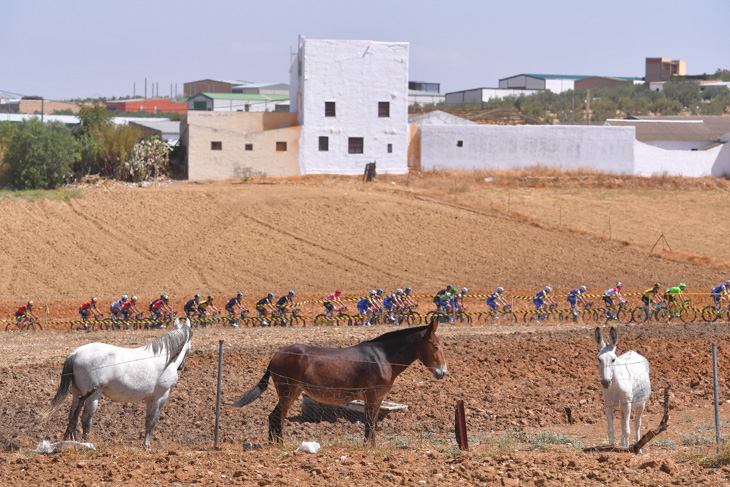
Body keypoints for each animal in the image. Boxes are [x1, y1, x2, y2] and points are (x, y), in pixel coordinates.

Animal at [44, 316, 193, 450]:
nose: (181, 367)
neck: (165, 359)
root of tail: (75, 353)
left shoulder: (150, 399)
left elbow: (147, 421)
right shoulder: (161, 396)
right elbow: (152, 421)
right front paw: (147, 447)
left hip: (77, 394)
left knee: (72, 417)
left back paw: (73, 443)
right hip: (93, 395)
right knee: (86, 419)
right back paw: (88, 443)